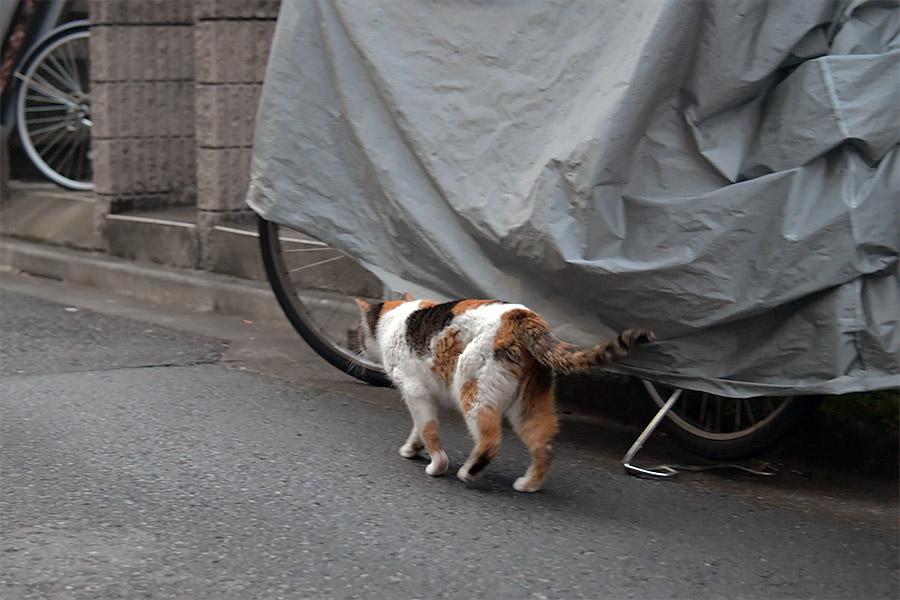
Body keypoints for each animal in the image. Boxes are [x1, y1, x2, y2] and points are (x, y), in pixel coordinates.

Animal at [352, 294, 652, 492]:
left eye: (359, 331)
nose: (358, 346)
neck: (396, 318)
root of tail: (523, 316)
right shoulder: (429, 395)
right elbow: (420, 427)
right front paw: (413, 449)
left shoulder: (414, 390)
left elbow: (428, 429)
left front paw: (437, 465)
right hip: (530, 403)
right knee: (544, 446)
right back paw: (528, 484)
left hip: (473, 390)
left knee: (491, 440)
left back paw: (469, 473)